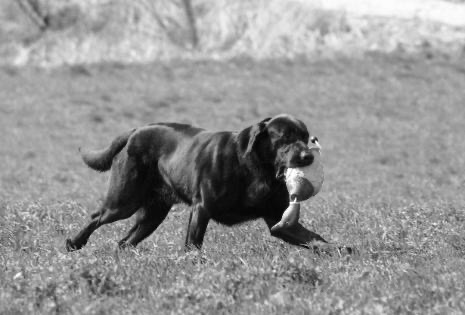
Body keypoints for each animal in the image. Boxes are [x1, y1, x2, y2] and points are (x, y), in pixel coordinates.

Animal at [65, 115, 342, 253]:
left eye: (306, 137)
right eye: (284, 137)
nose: (307, 157)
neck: (255, 169)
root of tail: (135, 130)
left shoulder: (280, 223)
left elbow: (316, 240)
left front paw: (342, 251)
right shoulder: (202, 209)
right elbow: (193, 245)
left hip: (152, 215)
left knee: (124, 242)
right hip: (124, 202)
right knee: (96, 217)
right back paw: (74, 243)